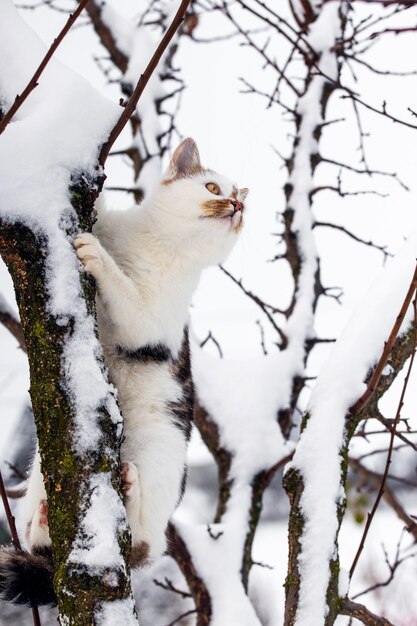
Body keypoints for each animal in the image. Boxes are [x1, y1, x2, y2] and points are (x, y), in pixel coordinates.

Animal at [0, 138, 247, 604]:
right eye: (212, 186)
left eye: (241, 200)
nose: (236, 204)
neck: (154, 244)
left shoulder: (153, 323)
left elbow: (128, 299)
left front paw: (96, 255)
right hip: (41, 473)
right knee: (41, 542)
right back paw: (40, 522)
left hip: (159, 459)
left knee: (141, 542)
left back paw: (129, 490)